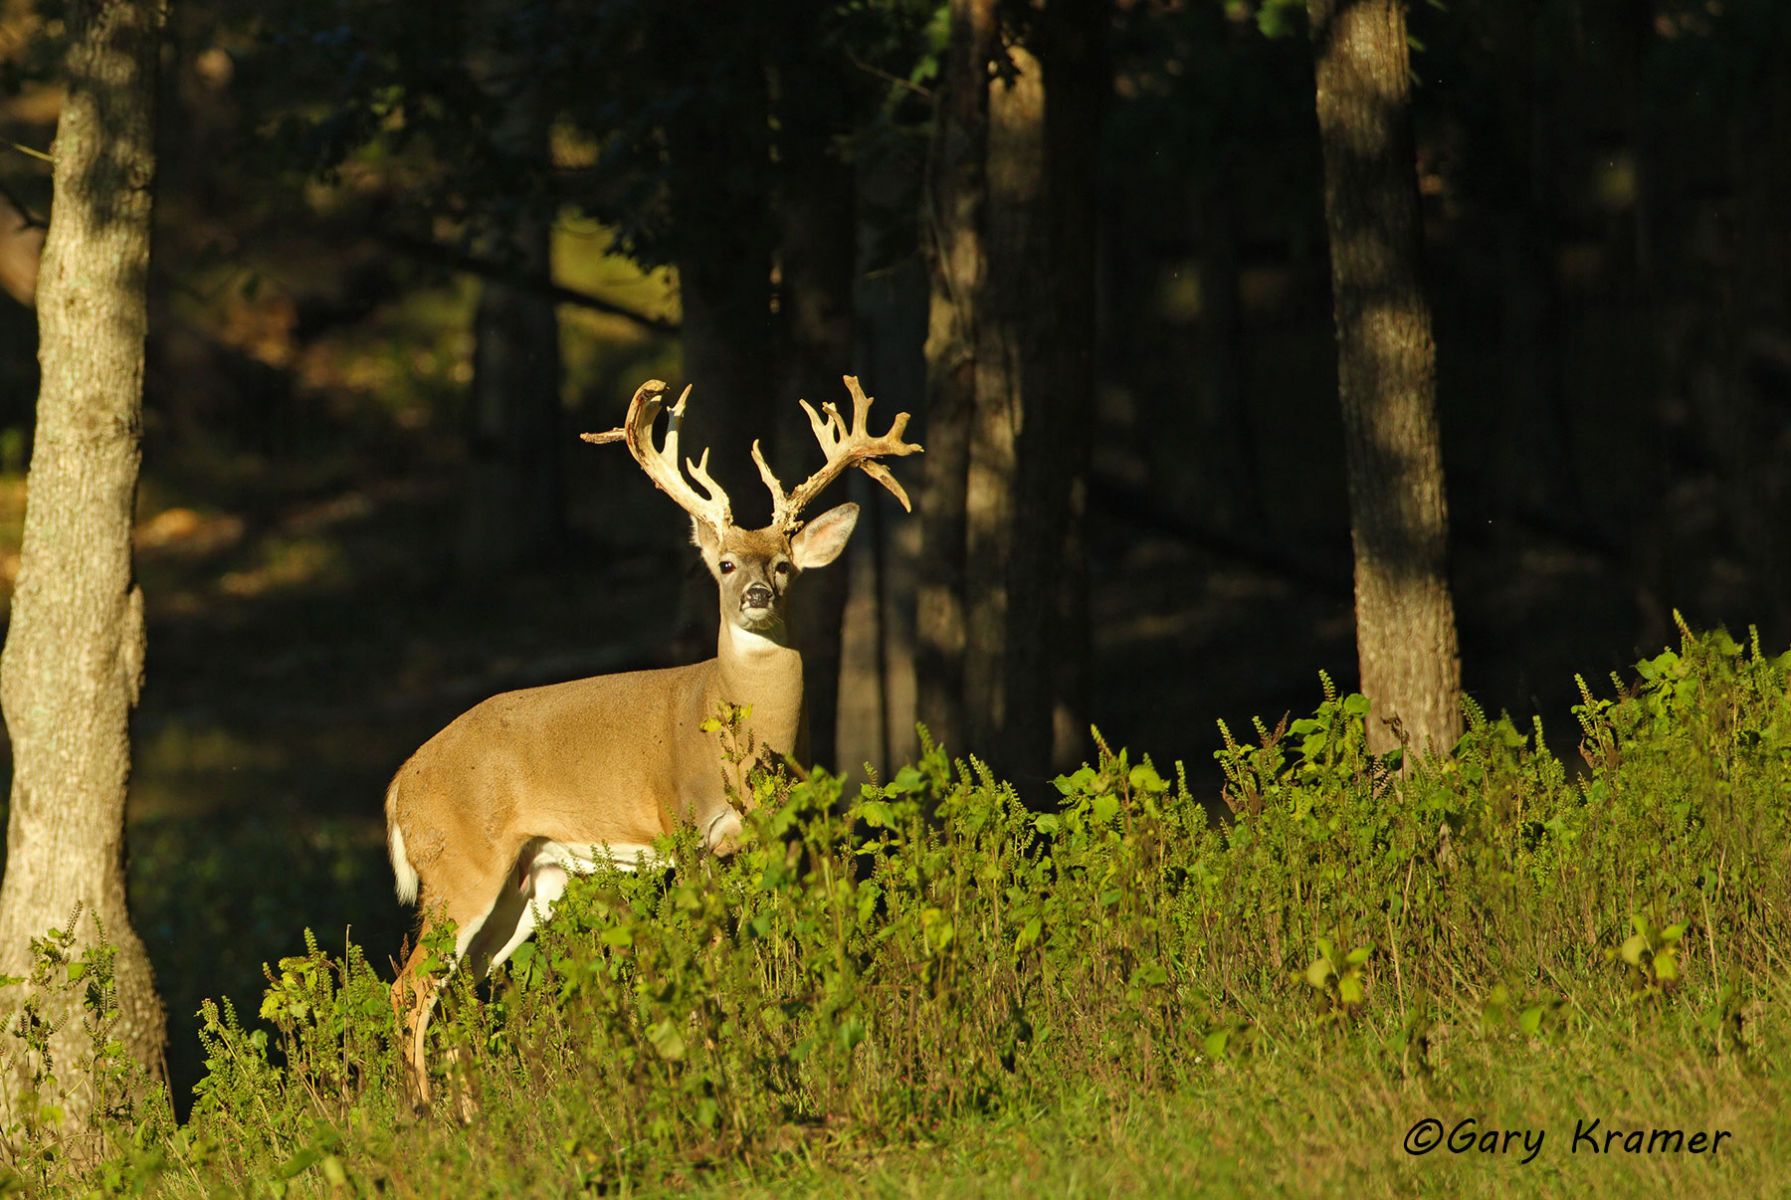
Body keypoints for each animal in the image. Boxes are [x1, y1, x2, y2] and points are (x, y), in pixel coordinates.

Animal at [385, 375, 921, 1112]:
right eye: (724, 563)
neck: (737, 727)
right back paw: (424, 1113)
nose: (757, 594)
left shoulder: (778, 833)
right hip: (458, 864)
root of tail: (398, 786)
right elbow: (711, 953)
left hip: (534, 878)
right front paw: (721, 1057)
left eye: (785, 565)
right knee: (409, 987)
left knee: (465, 980)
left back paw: (468, 1110)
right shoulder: (686, 829)